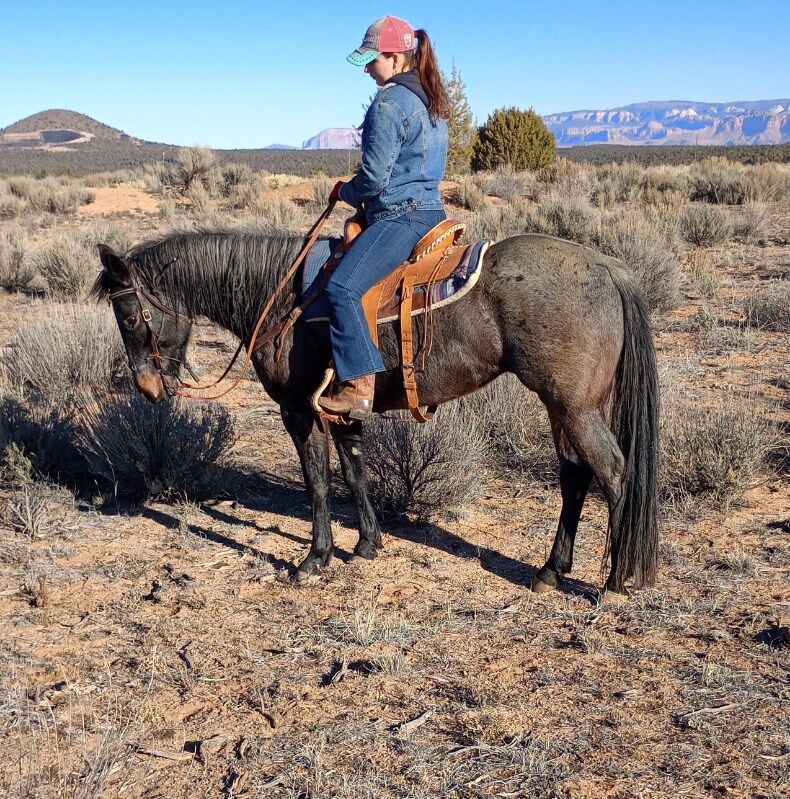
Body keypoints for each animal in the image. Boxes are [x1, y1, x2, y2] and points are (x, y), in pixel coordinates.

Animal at [93, 226, 659, 596]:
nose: (147, 388)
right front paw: (366, 543)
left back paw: (614, 581)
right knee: (575, 475)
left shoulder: (298, 409)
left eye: (130, 316)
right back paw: (550, 571)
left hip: (574, 406)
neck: (283, 297)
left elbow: (318, 481)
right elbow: (353, 470)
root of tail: (608, 267)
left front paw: (315, 557)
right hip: (565, 406)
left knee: (613, 473)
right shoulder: (339, 410)